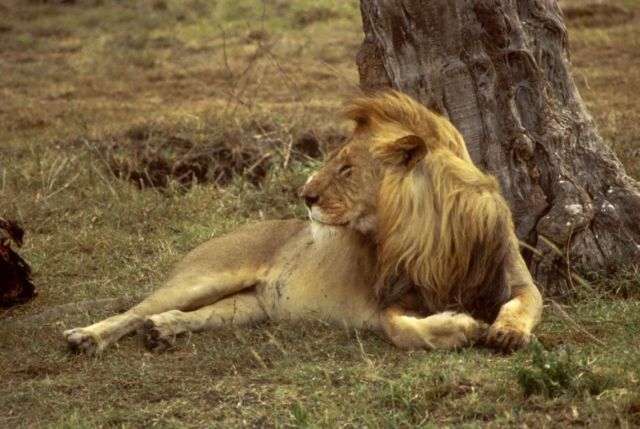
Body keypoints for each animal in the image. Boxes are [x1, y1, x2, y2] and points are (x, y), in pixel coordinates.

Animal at [64, 90, 542, 356]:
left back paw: (164, 329)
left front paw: (505, 333)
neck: (436, 234)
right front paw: (462, 328)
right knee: (135, 310)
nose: (304, 196)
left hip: (249, 306)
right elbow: (403, 330)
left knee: (193, 314)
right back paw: (87, 337)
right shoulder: (389, 299)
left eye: (347, 169)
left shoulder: (516, 276)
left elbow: (522, 303)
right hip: (204, 276)